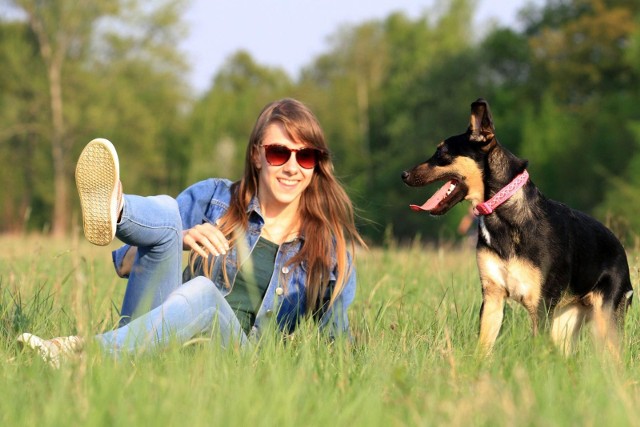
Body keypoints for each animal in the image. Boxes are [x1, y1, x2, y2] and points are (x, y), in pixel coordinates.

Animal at [402, 98, 632, 356]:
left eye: (441, 153)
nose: (403, 174)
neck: (503, 214)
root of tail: (620, 249)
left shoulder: (540, 306)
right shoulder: (492, 297)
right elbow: (483, 348)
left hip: (606, 322)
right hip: (565, 323)